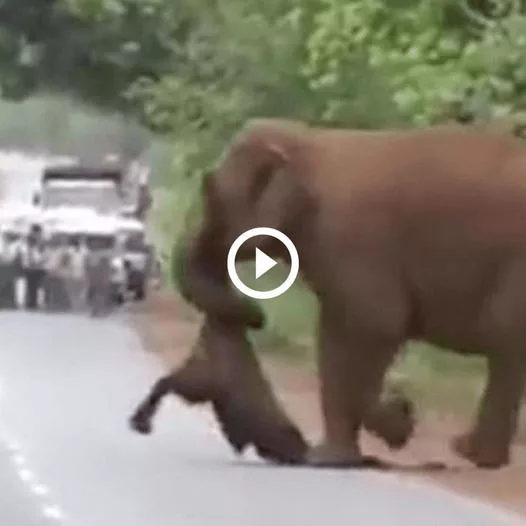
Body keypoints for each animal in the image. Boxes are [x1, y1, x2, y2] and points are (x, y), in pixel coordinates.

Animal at [177, 119, 526, 470]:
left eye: (212, 195)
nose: (256, 316)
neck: (306, 141)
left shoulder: (353, 241)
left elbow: (379, 326)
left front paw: (399, 424)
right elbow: (331, 339)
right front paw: (330, 458)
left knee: (504, 342)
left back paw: (470, 453)